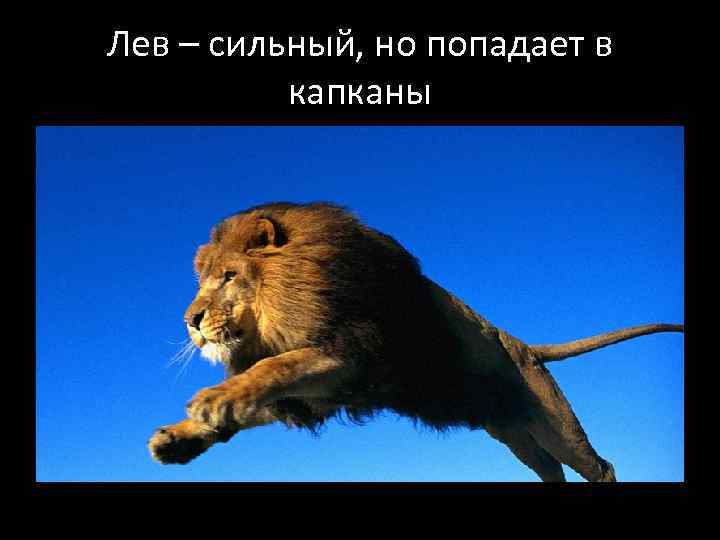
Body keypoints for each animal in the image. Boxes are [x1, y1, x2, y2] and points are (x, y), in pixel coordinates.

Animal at [148, 202, 684, 482]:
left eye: (229, 276)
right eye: (203, 281)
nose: (190, 320)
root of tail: (526, 347)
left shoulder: (354, 353)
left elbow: (275, 368)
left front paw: (211, 400)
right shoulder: (321, 394)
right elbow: (260, 395)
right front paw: (180, 437)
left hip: (555, 425)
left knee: (600, 466)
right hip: (515, 435)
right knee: (551, 472)